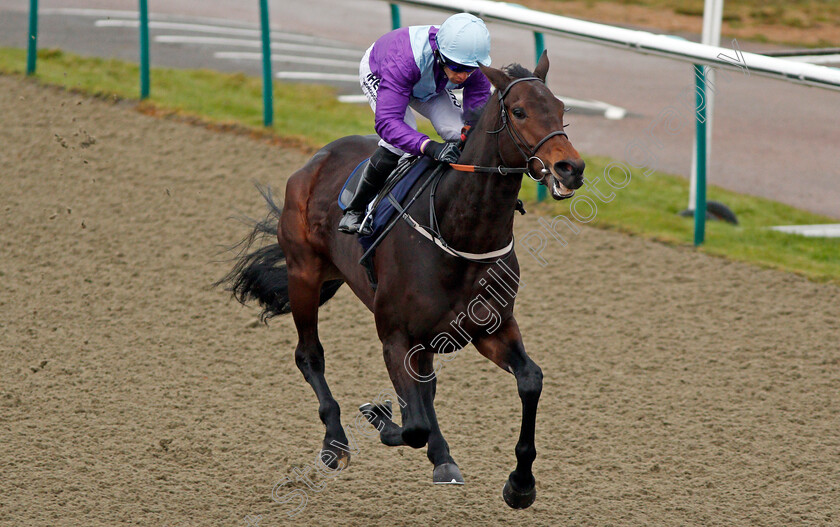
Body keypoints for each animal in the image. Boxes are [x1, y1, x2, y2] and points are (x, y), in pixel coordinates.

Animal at [217, 51, 584, 510]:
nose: (571, 168)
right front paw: (379, 416)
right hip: (304, 274)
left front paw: (520, 483)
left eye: (561, 110)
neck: (460, 233)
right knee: (309, 356)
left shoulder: (490, 328)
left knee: (426, 387)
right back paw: (336, 443)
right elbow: (412, 424)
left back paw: (442, 458)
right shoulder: (395, 335)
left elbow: (529, 381)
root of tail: (316, 159)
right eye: (519, 111)